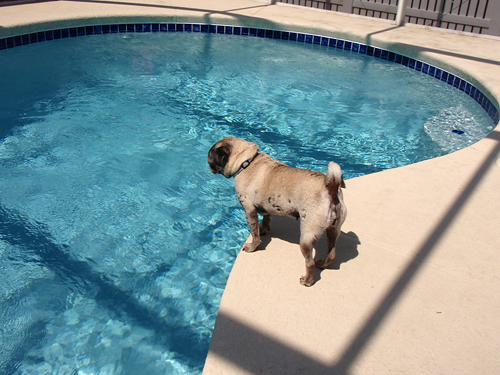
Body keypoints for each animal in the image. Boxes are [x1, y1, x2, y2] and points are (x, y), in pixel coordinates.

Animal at [206, 138, 344, 288]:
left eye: (210, 157)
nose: (207, 162)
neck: (246, 161)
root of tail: (331, 190)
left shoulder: (249, 211)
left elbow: (254, 234)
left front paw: (253, 246)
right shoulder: (266, 208)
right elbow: (265, 221)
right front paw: (263, 230)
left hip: (306, 238)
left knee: (309, 263)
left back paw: (307, 281)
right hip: (333, 230)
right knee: (331, 253)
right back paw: (323, 264)